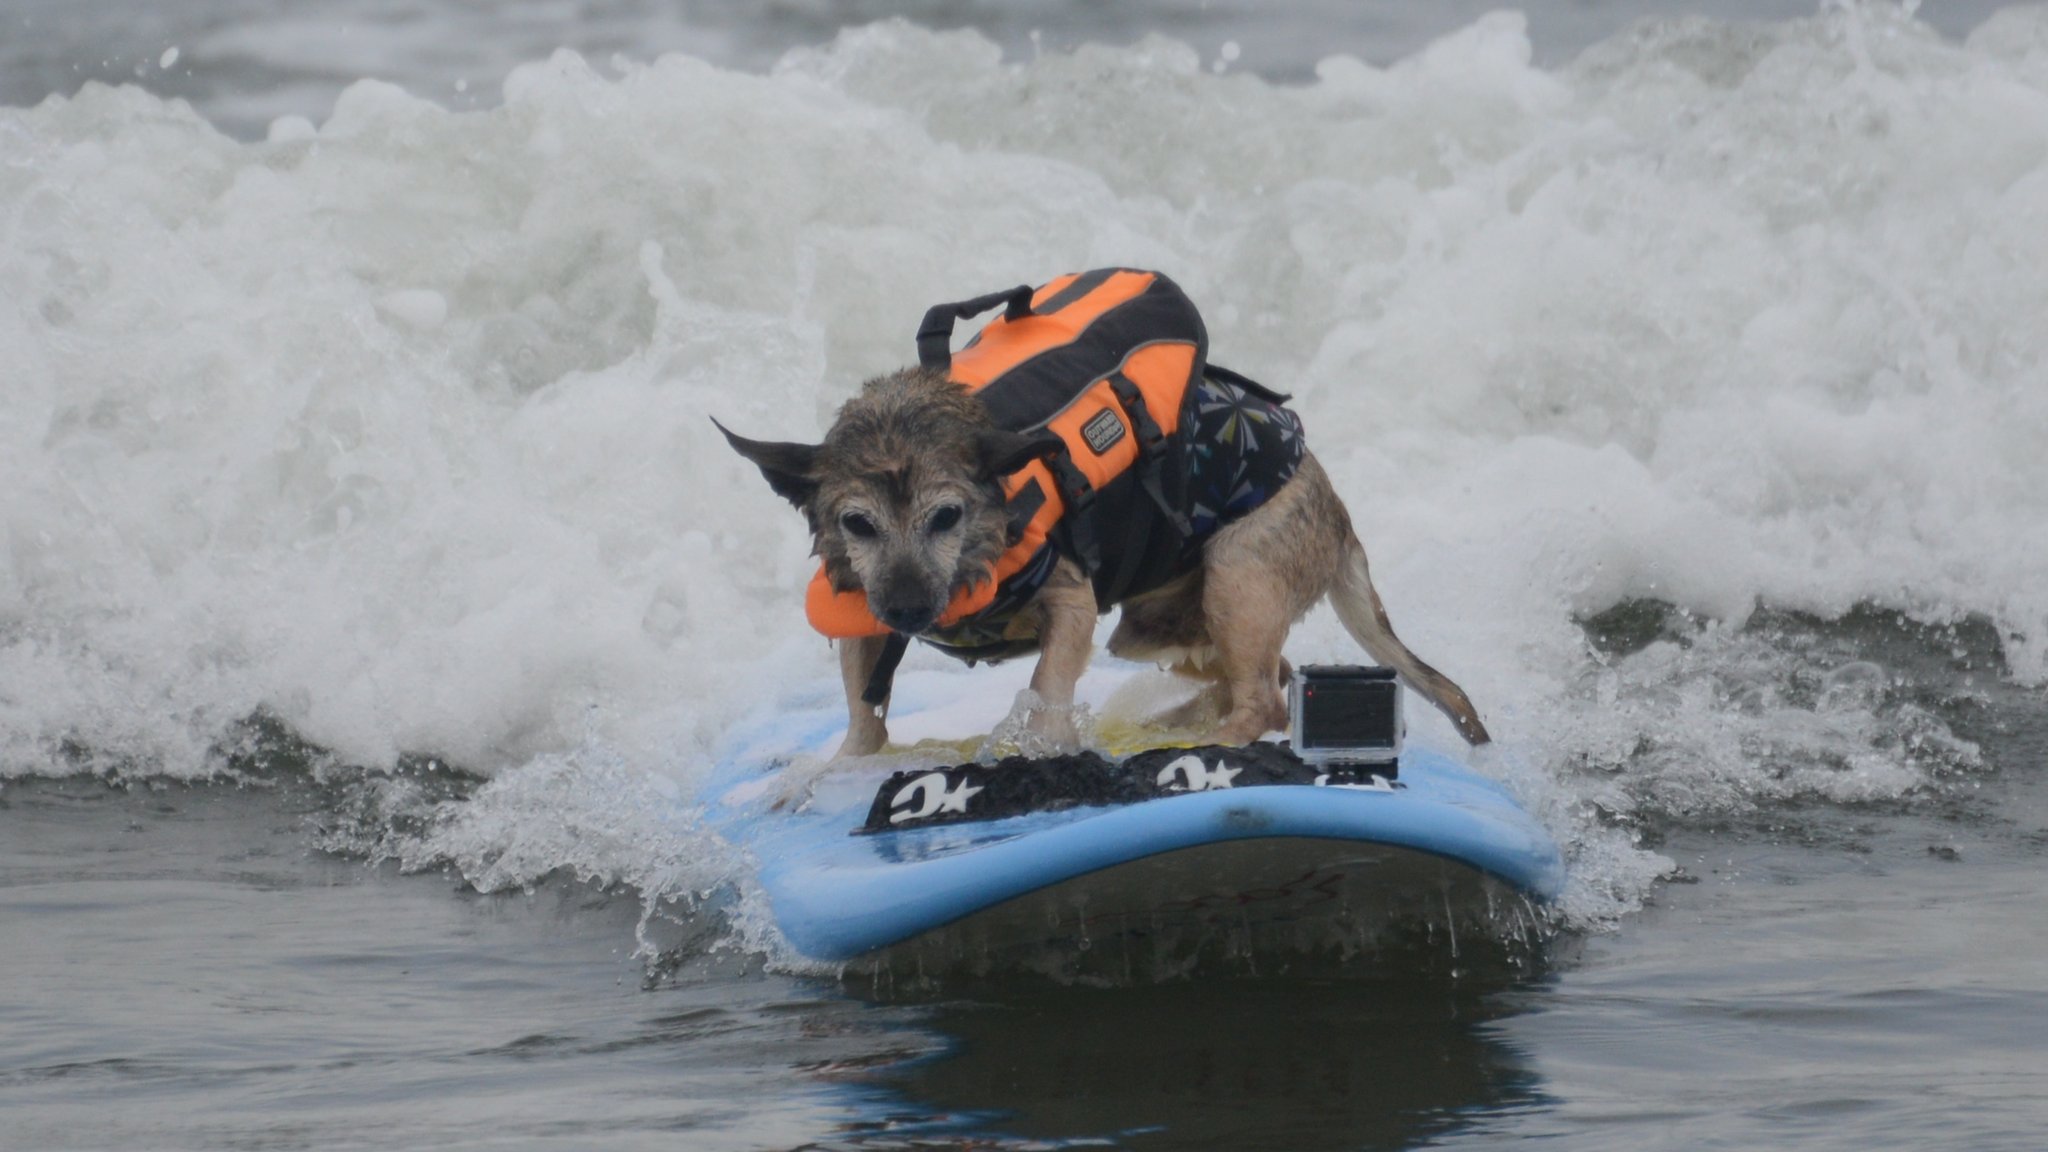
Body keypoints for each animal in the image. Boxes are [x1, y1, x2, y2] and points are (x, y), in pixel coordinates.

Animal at [720, 362, 1490, 758]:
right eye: (857, 523)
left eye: (947, 516)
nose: (910, 610)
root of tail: (1335, 508)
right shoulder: (863, 611)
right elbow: (861, 715)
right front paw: (835, 773)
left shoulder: (1069, 601)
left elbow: (1048, 685)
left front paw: (1048, 745)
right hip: (1158, 627)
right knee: (1270, 676)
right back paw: (1177, 724)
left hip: (1239, 575)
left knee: (1265, 698)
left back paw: (1195, 746)